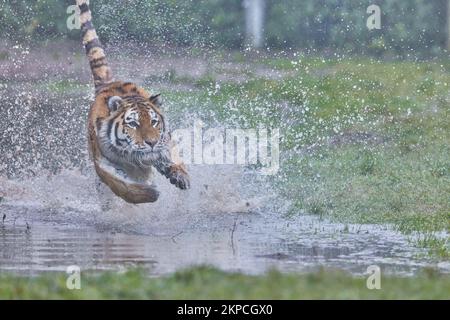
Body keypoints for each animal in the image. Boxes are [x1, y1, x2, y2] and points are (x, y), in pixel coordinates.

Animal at [76, 0, 189, 204]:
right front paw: (150, 193)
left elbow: (173, 157)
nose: (151, 143)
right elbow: (121, 184)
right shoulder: (102, 163)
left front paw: (181, 176)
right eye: (133, 124)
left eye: (154, 122)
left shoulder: (164, 143)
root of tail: (108, 84)